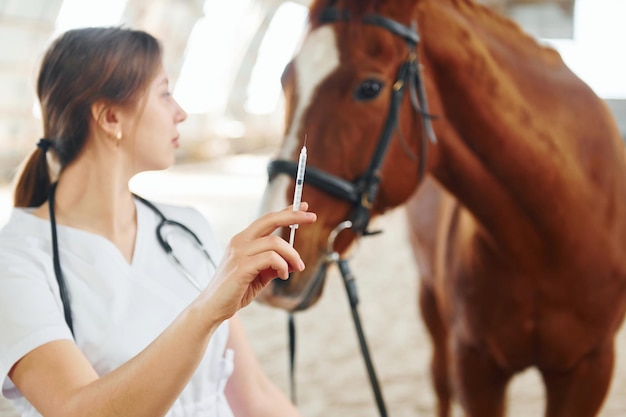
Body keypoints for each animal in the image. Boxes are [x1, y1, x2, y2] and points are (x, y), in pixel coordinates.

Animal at [254, 0, 624, 416]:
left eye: (370, 88)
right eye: (286, 80)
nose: (277, 246)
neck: (543, 244)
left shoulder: (590, 370)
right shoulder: (476, 364)